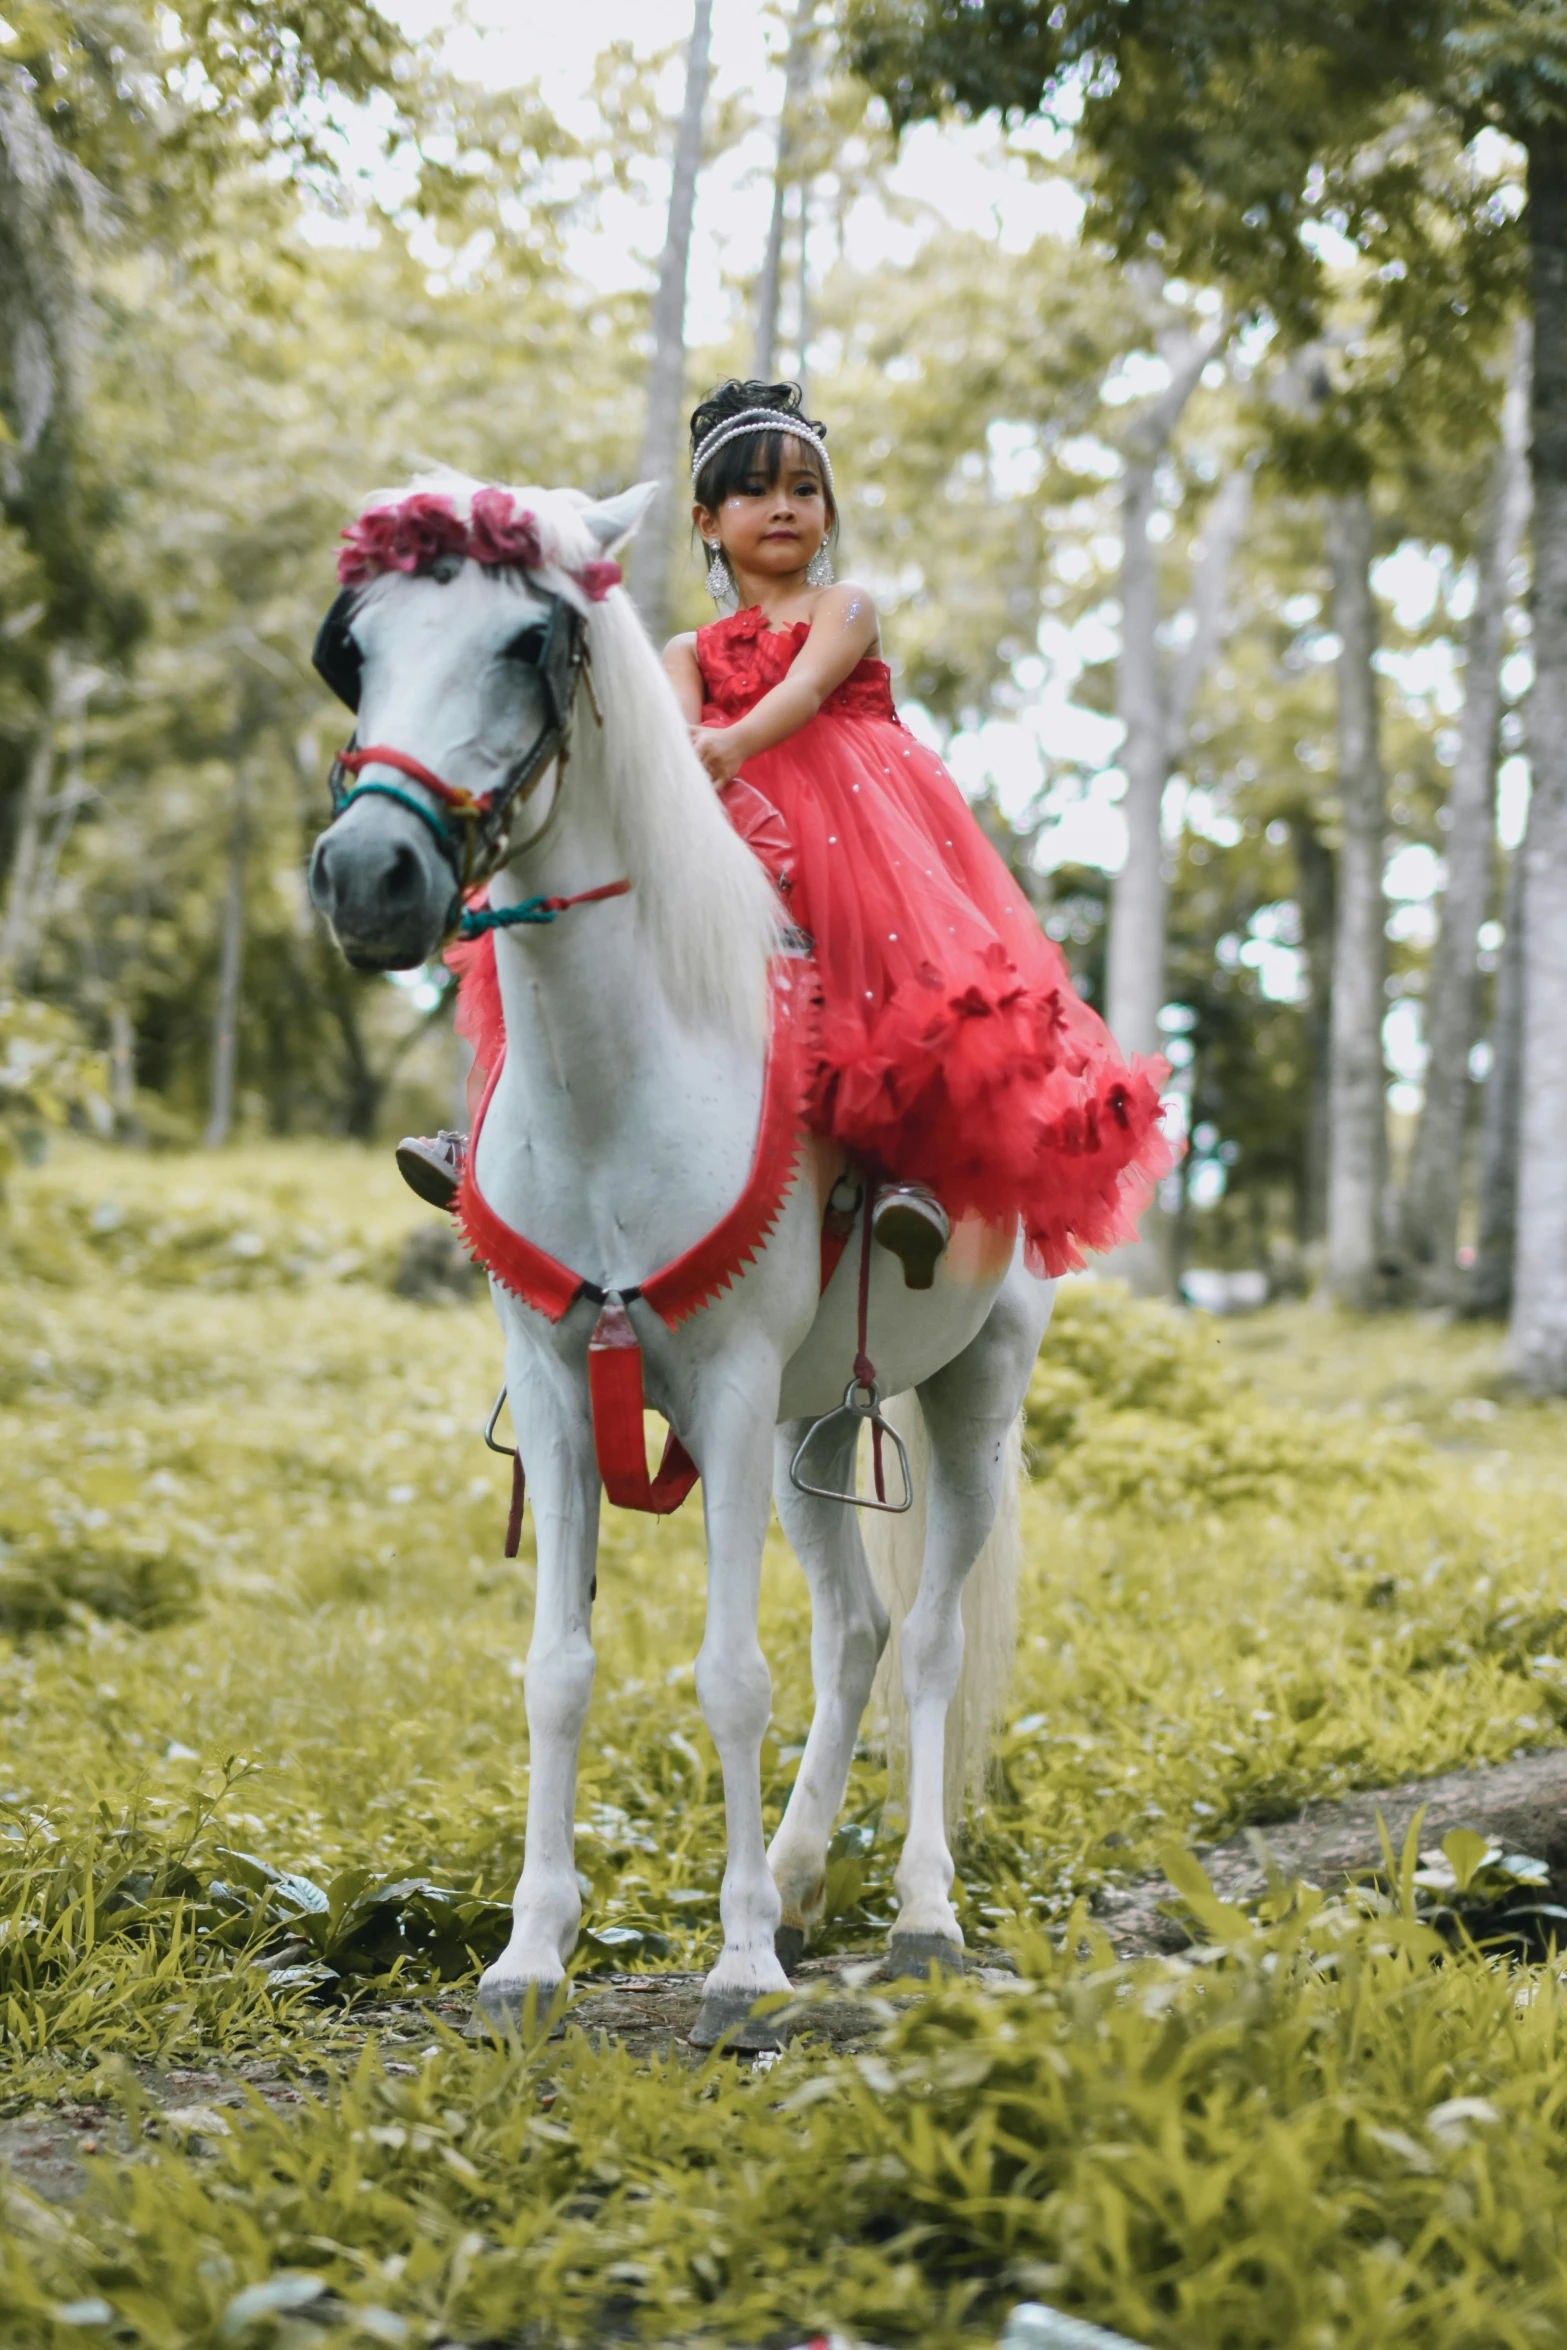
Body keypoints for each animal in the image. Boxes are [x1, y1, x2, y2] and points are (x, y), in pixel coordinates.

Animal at [310, 472, 1052, 2039]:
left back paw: (919, 1914)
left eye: (531, 641)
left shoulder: (722, 1381)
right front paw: (531, 1953)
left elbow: (727, 1676)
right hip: (803, 1426)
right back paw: (807, 1874)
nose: (369, 876)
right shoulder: (556, 1383)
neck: (614, 1081)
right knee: (853, 1631)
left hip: (972, 1389)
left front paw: (739, 1965)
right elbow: (556, 1669)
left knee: (930, 1640)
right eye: (357, 648)